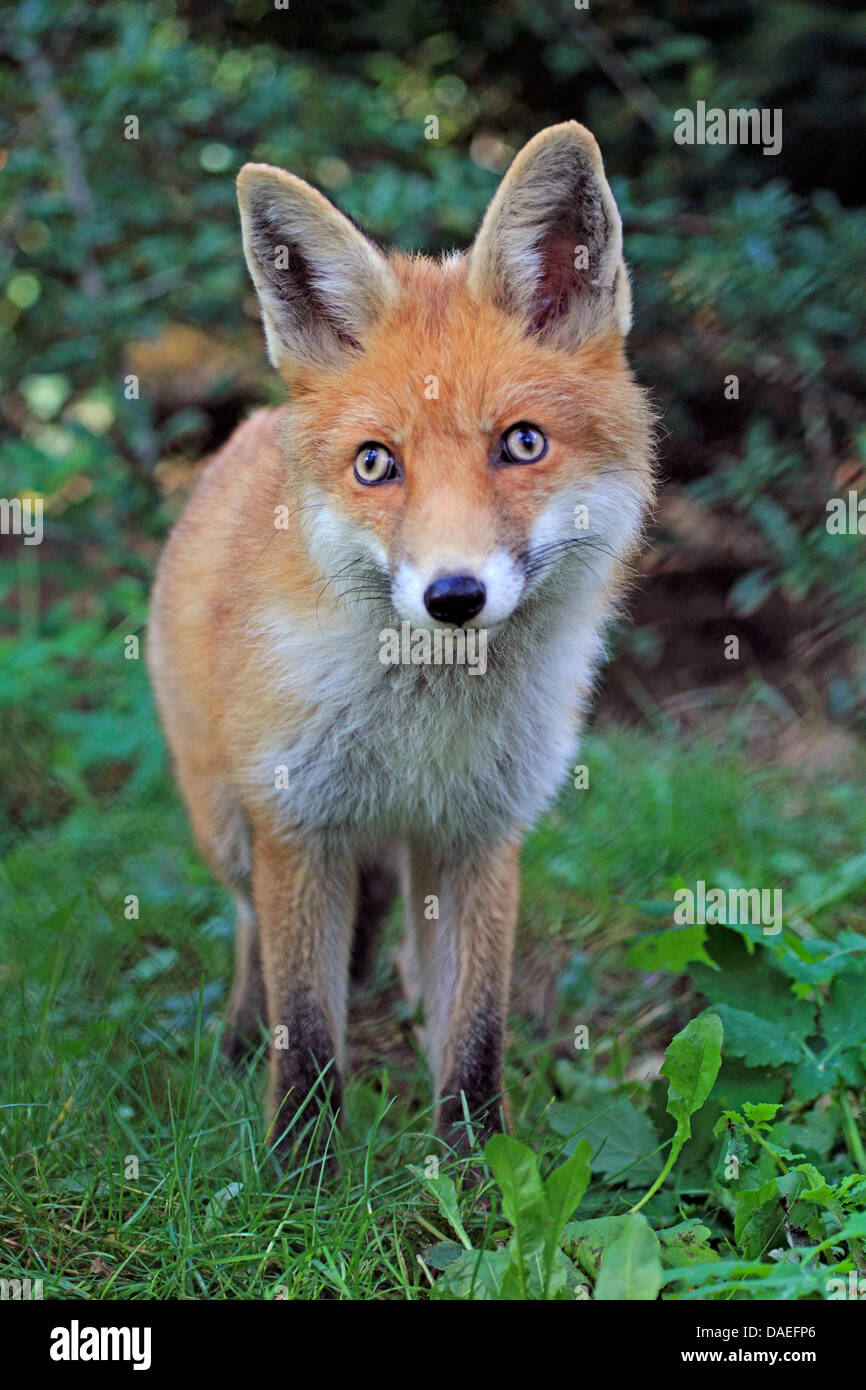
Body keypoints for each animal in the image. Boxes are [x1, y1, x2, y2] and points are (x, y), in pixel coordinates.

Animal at [147, 122, 650, 1162]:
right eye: (377, 464)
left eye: (522, 444)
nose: (453, 596)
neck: (421, 725)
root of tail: (248, 428)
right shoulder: (299, 826)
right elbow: (306, 1025)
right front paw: (299, 1173)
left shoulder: (483, 834)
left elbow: (477, 1032)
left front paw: (472, 1171)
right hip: (226, 821)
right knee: (252, 933)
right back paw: (237, 1038)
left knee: (416, 963)